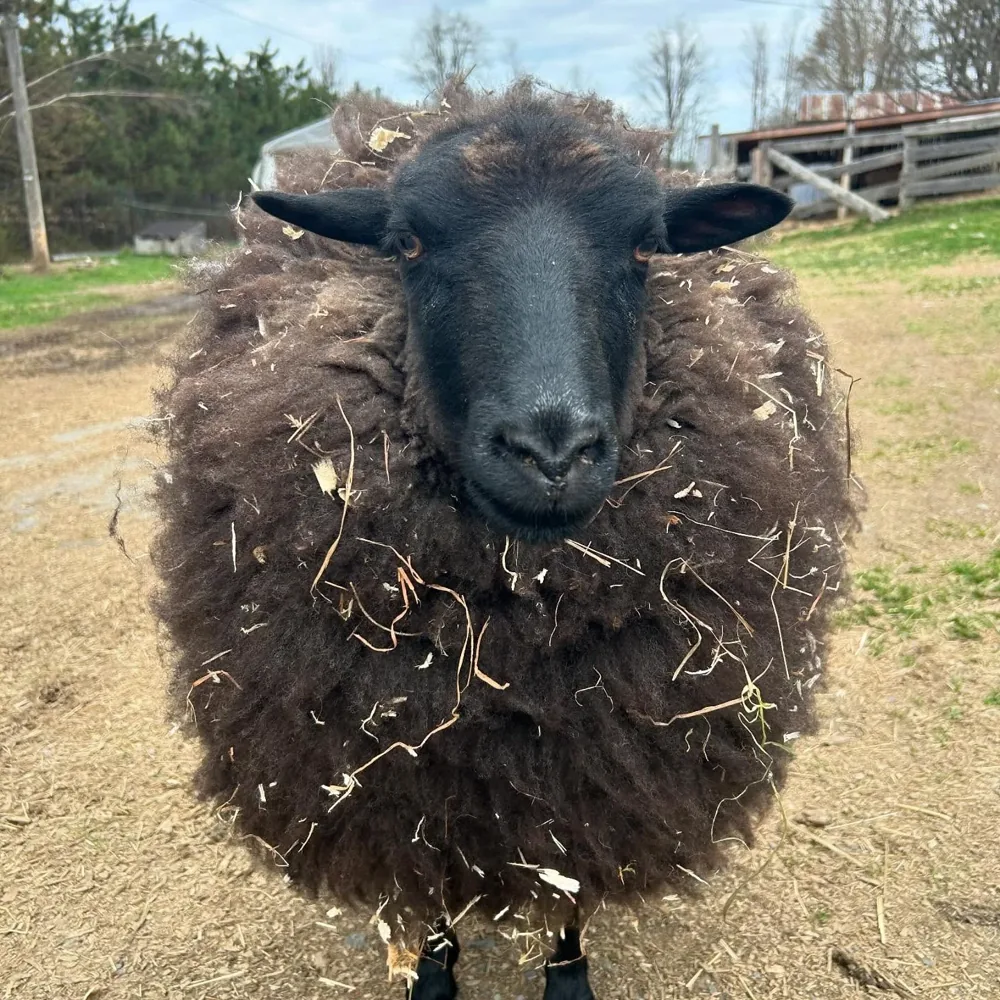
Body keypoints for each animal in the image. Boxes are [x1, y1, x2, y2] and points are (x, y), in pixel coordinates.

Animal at [147, 81, 860, 999]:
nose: (551, 453)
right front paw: (433, 972)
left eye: (646, 246)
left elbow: (570, 886)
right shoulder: (413, 777)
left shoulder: (593, 774)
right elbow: (430, 884)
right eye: (408, 242)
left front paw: (567, 973)